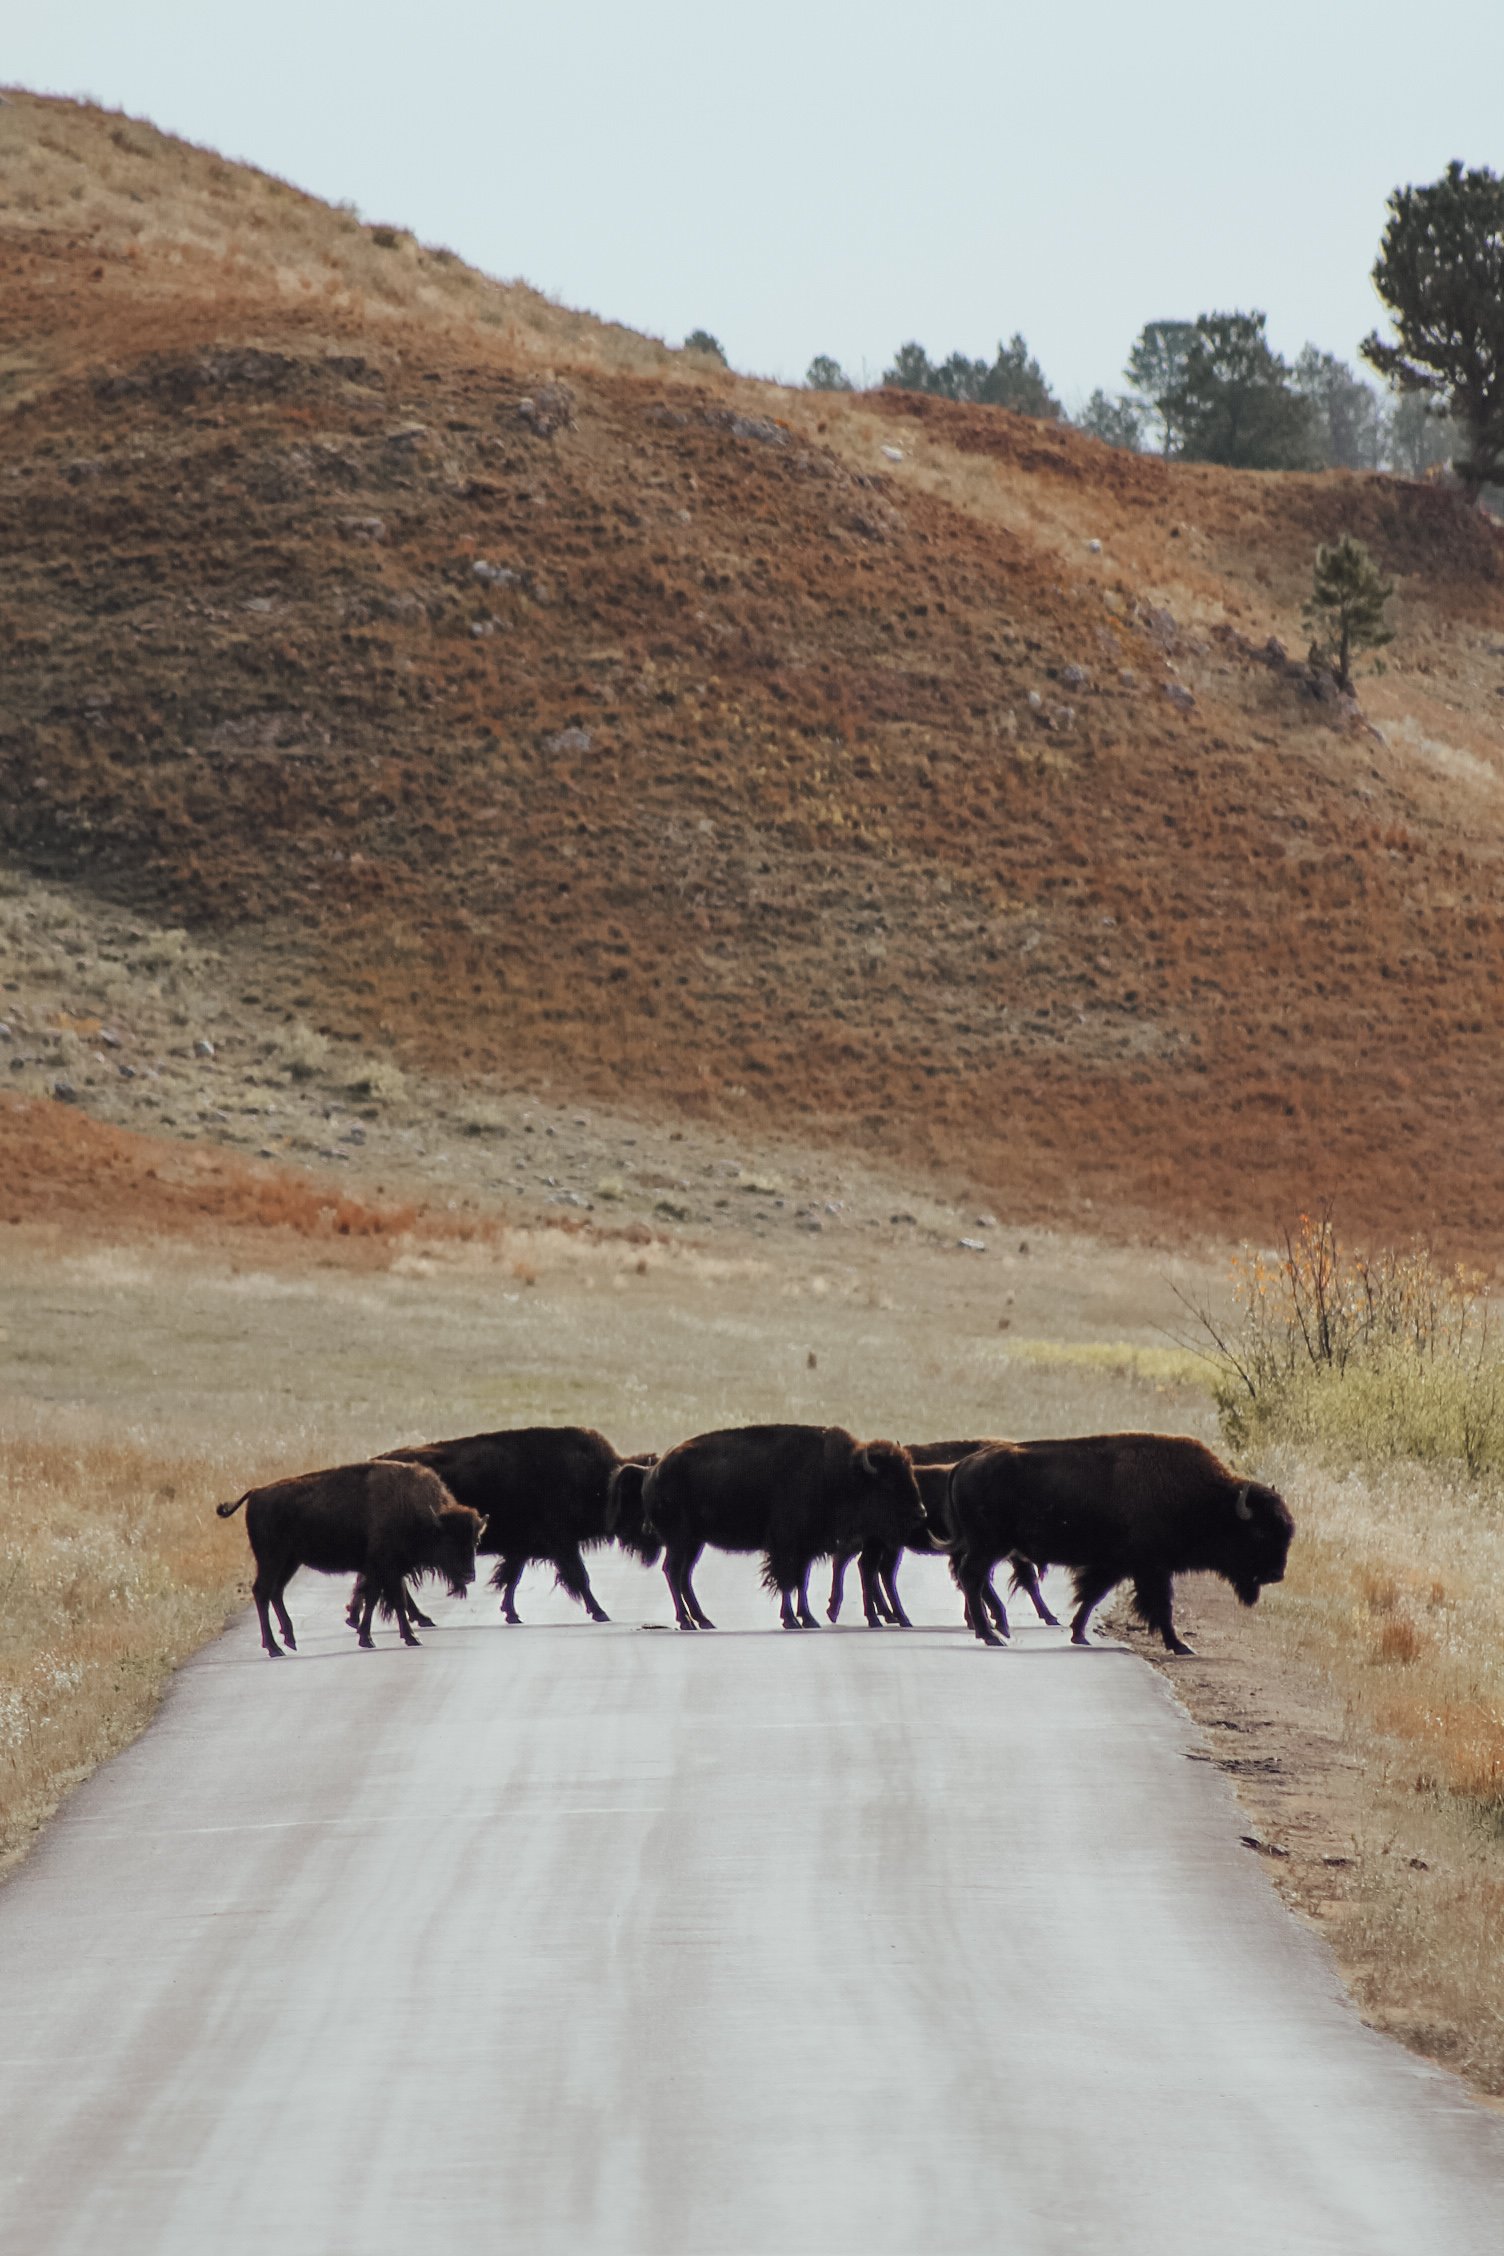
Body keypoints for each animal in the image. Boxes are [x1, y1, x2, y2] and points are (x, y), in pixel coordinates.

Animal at [211, 1461, 480, 1660]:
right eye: (449, 1542)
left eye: (475, 1541)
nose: (469, 1575)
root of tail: (256, 1492)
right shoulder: (387, 1569)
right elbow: (396, 1600)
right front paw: (410, 1637)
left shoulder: (380, 1570)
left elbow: (372, 1599)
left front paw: (366, 1638)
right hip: (272, 1559)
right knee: (262, 1592)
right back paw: (274, 1648)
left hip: (290, 1561)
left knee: (275, 1592)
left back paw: (289, 1640)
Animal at [378, 1425, 649, 1624]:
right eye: (636, 1498)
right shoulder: (562, 1544)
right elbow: (579, 1577)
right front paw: (601, 1613)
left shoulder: (524, 1548)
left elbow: (512, 1578)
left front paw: (512, 1614)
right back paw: (422, 1618)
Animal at [644, 1416, 924, 1633]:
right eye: (888, 1483)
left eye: (909, 1474)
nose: (920, 1513)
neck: (837, 1473)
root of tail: (655, 1472)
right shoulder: (786, 1544)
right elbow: (787, 1580)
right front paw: (791, 1620)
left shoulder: (805, 1547)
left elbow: (801, 1580)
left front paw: (808, 1619)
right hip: (680, 1540)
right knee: (673, 1571)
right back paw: (687, 1622)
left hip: (694, 1542)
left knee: (684, 1575)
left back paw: (703, 1620)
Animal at [947, 1434, 1289, 1651]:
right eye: (1259, 1533)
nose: (1277, 1574)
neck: (1209, 1500)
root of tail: (963, 1465)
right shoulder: (1151, 1568)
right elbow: (1161, 1606)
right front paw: (1180, 1646)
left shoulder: (1116, 1565)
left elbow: (1092, 1596)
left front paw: (1079, 1634)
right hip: (988, 1546)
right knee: (972, 1578)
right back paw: (991, 1635)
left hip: (989, 1548)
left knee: (974, 1580)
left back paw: (994, 1631)